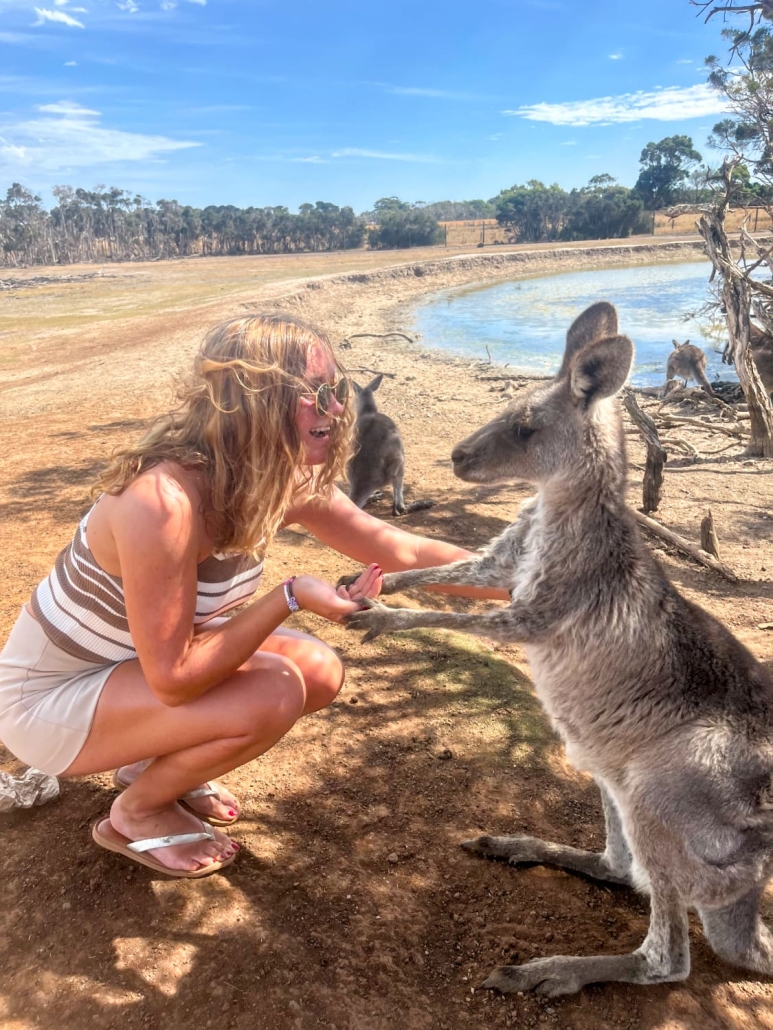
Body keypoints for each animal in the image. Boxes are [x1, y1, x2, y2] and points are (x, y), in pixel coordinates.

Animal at [346, 374, 433, 517]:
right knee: (398, 509)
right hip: (399, 462)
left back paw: (373, 497)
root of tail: (364, 481)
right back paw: (422, 503)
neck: (369, 411)